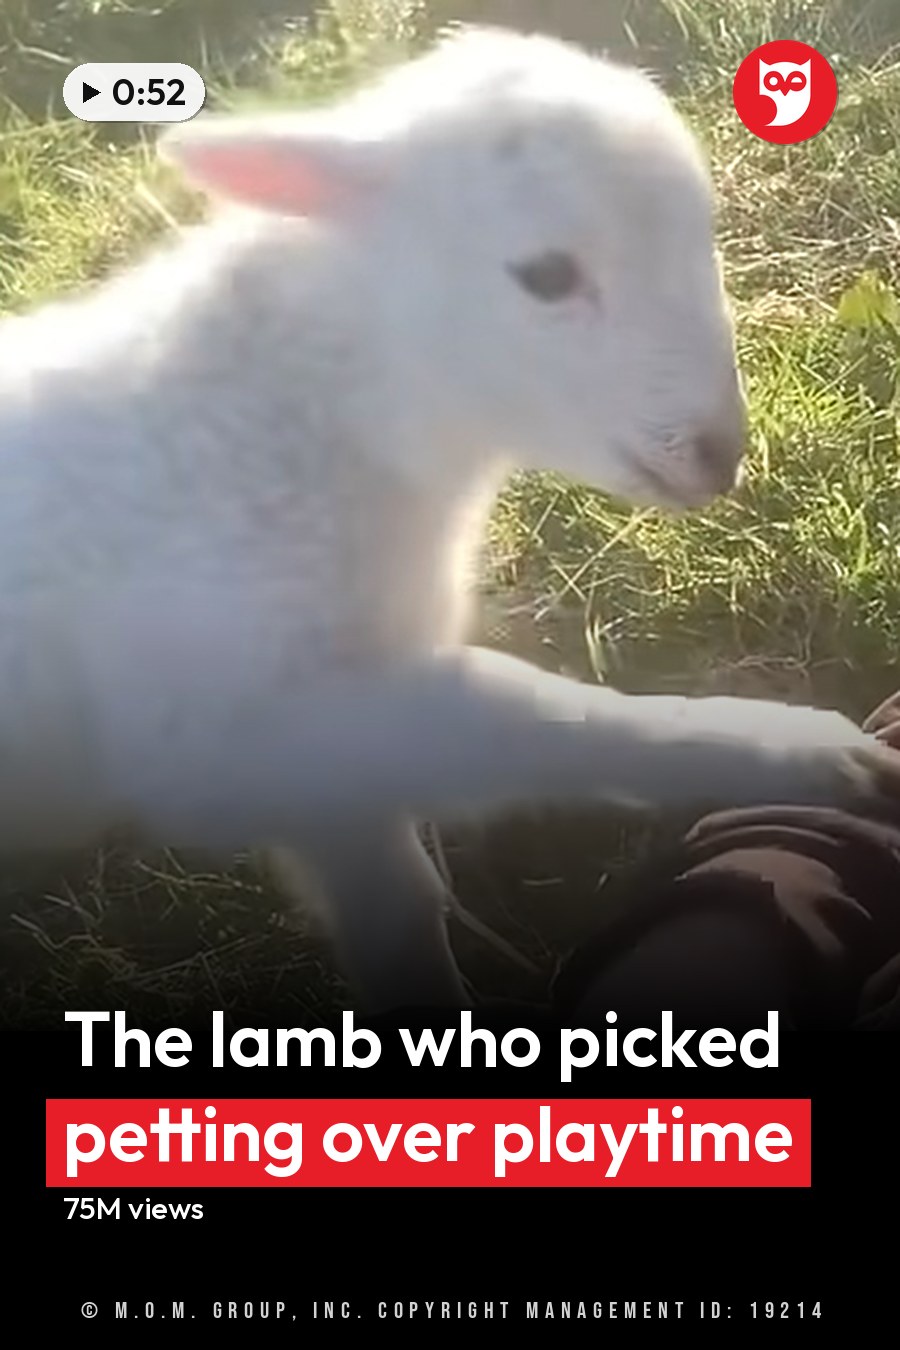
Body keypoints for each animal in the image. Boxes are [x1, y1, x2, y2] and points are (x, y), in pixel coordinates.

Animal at [0, 26, 896, 1013]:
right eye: (547, 275)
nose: (717, 455)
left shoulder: (328, 782)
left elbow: (402, 903)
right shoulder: (217, 723)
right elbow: (519, 716)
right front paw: (802, 753)